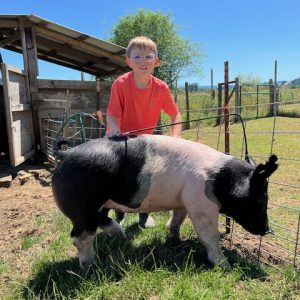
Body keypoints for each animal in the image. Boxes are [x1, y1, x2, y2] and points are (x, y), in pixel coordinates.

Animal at [52, 134, 278, 270]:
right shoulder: (201, 205)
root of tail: (66, 153)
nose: (267, 230)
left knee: (101, 221)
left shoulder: (183, 201)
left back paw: (121, 236)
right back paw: (90, 265)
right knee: (80, 237)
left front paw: (175, 239)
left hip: (98, 206)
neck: (221, 180)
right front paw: (225, 266)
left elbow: (177, 219)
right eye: (260, 199)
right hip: (82, 207)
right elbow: (209, 236)